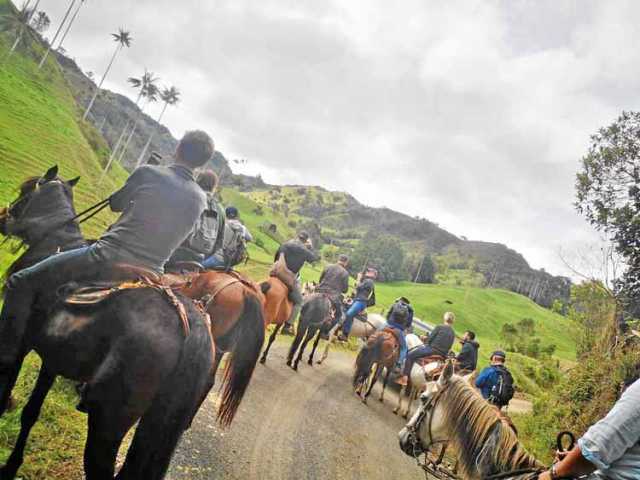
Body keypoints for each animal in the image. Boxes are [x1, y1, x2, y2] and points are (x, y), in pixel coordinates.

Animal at [0, 166, 218, 480]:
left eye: (26, 190)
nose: (3, 217)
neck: (55, 243)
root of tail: (190, 330)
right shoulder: (53, 359)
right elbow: (31, 411)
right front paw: (11, 466)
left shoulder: (22, 343)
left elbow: (5, 384)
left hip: (107, 420)